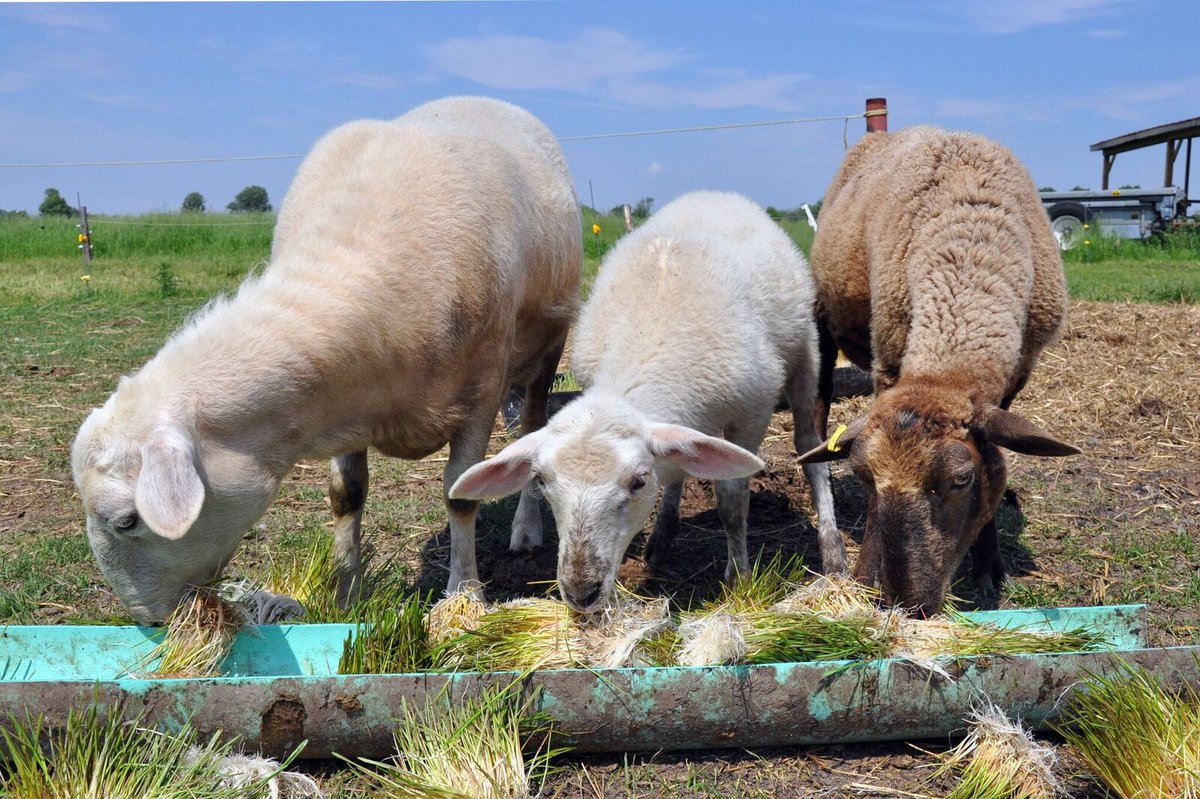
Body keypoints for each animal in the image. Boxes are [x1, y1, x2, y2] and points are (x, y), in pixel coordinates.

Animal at [68, 97, 583, 623]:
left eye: (127, 521)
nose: (149, 620)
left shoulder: (479, 392)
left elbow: (459, 497)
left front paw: (464, 597)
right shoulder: (344, 401)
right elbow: (346, 495)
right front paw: (345, 593)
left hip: (547, 347)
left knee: (531, 427)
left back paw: (526, 528)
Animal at [451, 188, 844, 609]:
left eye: (638, 482)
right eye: (540, 480)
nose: (581, 593)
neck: (646, 345)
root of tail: (713, 193)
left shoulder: (751, 412)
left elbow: (732, 501)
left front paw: (738, 577)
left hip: (804, 352)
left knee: (808, 443)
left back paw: (832, 547)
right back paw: (662, 535)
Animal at [796, 124, 1080, 611]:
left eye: (961, 480)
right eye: (864, 477)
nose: (901, 603)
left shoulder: (1012, 379)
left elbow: (996, 454)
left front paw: (988, 566)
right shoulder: (889, 366)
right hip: (822, 319)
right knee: (816, 423)